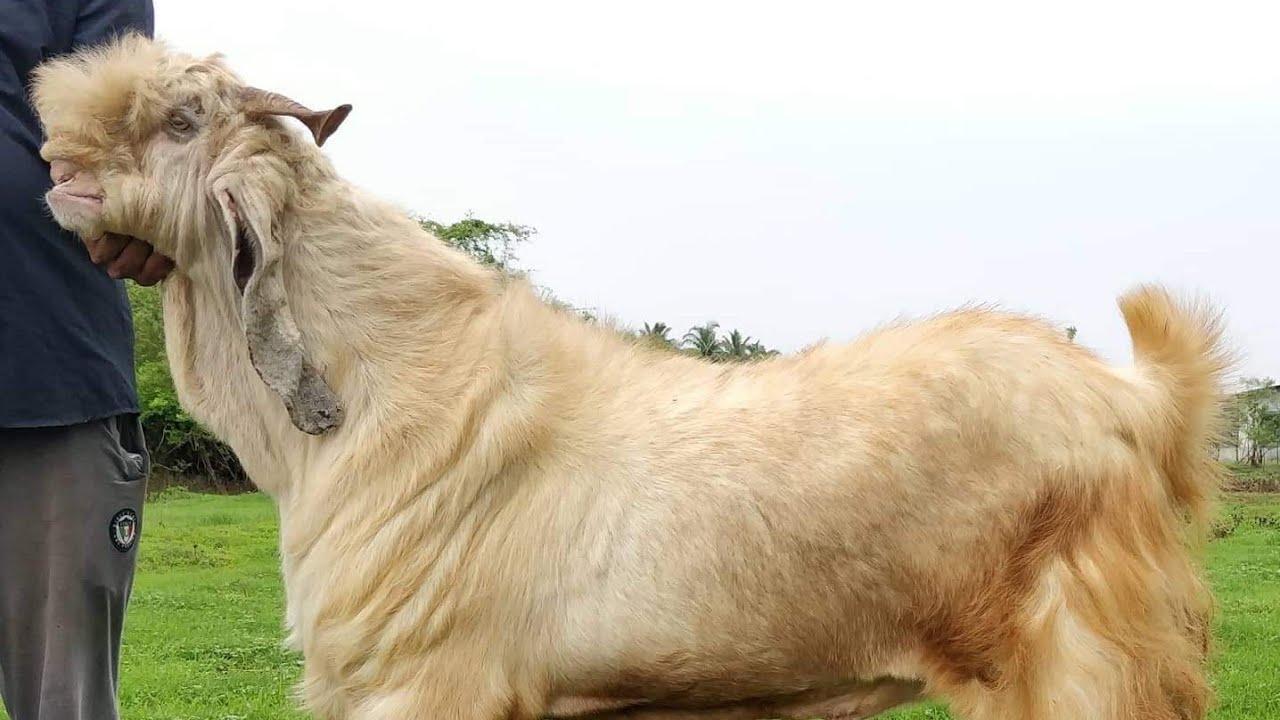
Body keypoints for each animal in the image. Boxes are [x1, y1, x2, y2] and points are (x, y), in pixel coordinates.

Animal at [31, 33, 1234, 720]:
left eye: (181, 118)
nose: (51, 168)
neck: (394, 390)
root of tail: (1139, 400)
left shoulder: (428, 683)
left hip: (1075, 666)